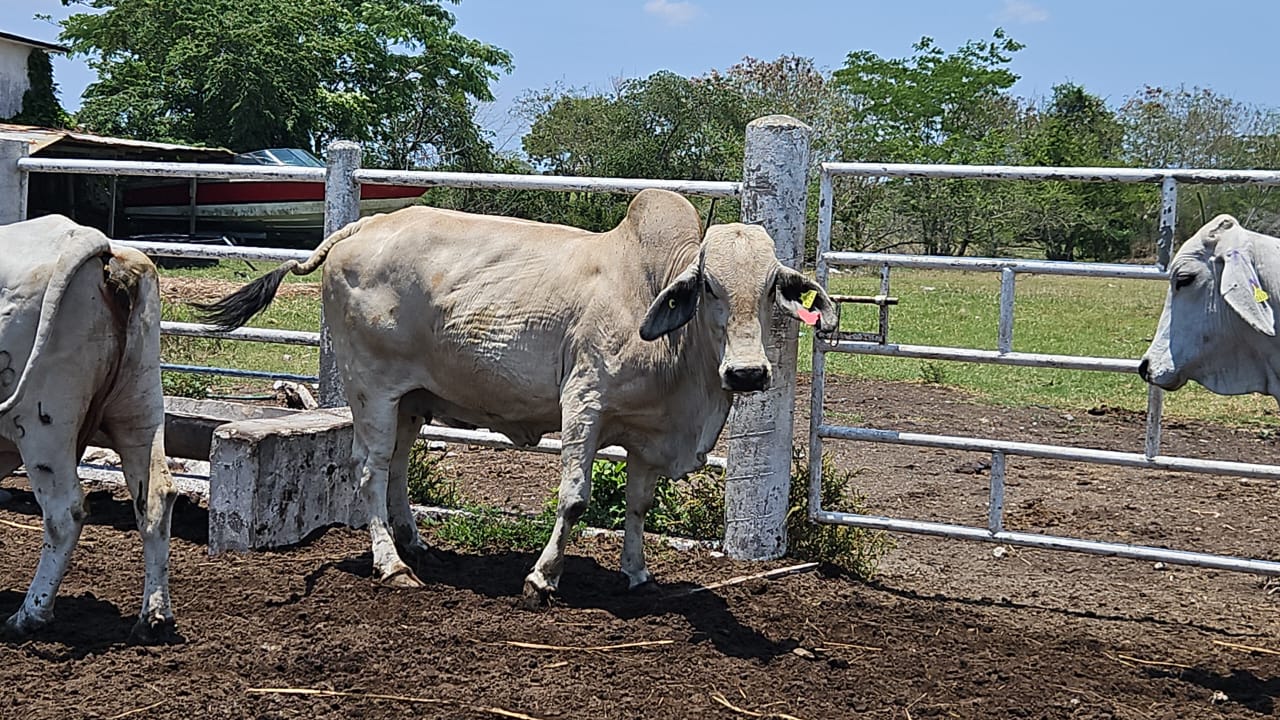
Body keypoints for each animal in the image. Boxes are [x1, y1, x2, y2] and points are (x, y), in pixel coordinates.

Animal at [0, 215, 177, 642]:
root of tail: (88, 238)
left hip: (44, 424)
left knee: (65, 514)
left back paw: (29, 615)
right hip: (140, 407)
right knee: (156, 497)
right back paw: (154, 617)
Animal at [197, 189, 837, 605]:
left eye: (772, 288)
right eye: (708, 287)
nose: (749, 373)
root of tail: (360, 228)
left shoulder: (646, 435)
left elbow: (637, 508)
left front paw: (637, 576)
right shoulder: (584, 404)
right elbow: (575, 500)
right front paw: (540, 579)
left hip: (410, 398)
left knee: (398, 466)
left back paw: (416, 544)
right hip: (370, 390)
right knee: (370, 470)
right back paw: (392, 564)